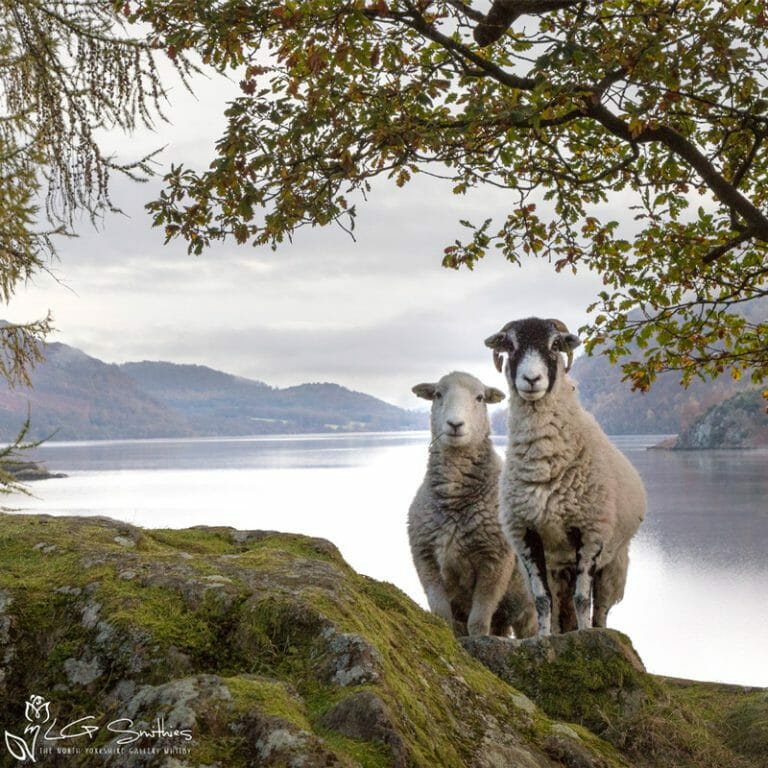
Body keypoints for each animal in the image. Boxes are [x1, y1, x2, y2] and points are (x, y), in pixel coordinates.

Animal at [408, 371, 537, 638]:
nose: (455, 425)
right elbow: (441, 615)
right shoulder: (426, 560)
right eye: (437, 394)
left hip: (530, 603)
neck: (454, 498)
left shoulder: (496, 562)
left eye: (480, 398)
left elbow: (478, 621)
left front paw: (477, 638)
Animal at [484, 318, 645, 636]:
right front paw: (544, 638)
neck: (543, 463)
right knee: (561, 608)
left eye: (555, 345)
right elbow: (542, 600)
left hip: (613, 563)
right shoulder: (526, 535)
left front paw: (586, 637)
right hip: (559, 568)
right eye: (510, 345)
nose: (531, 379)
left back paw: (597, 630)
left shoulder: (590, 532)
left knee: (600, 607)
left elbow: (583, 599)